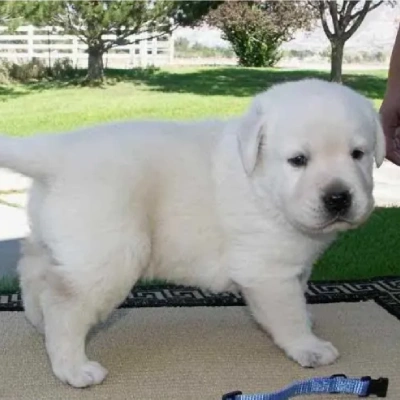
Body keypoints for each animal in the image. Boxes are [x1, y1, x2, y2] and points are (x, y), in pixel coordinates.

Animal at [0, 78, 384, 388]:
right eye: (298, 160)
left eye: (358, 154)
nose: (338, 197)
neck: (261, 183)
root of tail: (57, 152)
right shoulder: (267, 271)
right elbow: (286, 313)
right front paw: (308, 346)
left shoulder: (294, 263)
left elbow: (299, 294)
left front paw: (308, 318)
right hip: (110, 255)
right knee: (63, 303)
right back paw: (74, 368)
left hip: (58, 242)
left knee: (33, 273)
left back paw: (39, 323)